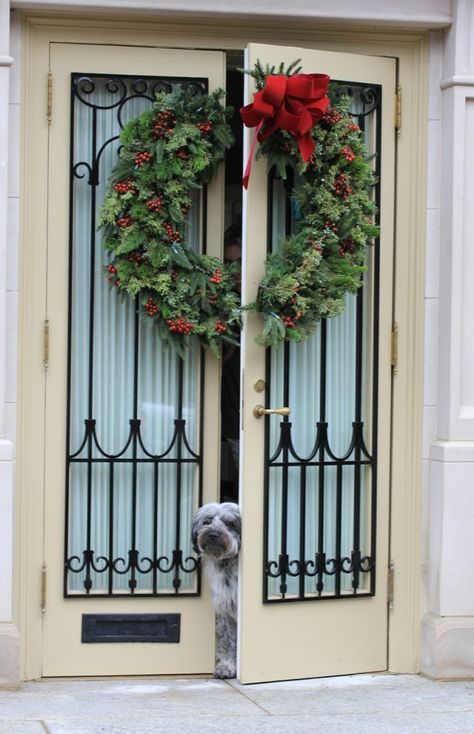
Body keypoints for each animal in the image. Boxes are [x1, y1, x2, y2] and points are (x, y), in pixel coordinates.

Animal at [191, 504, 241, 680]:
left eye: (230, 523)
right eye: (207, 521)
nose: (213, 535)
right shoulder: (224, 609)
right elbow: (226, 639)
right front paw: (226, 665)